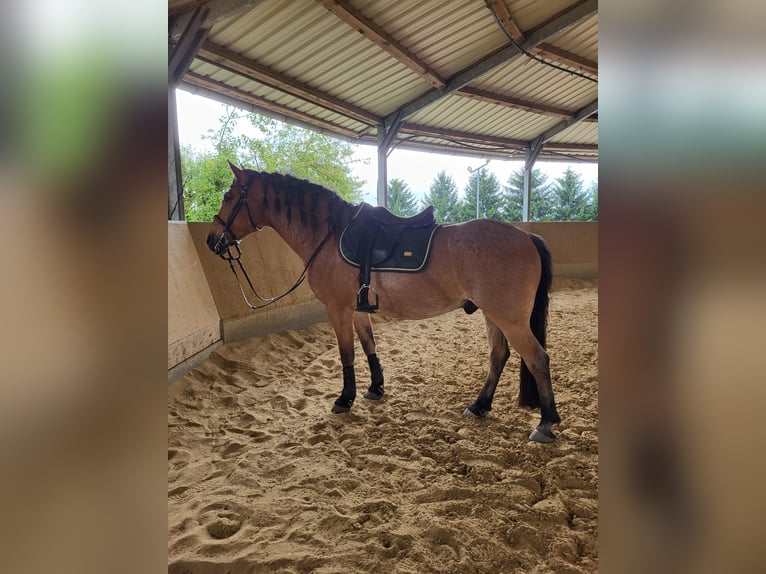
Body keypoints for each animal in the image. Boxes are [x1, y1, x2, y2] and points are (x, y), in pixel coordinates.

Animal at [206, 163, 560, 443]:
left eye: (228, 198)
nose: (211, 240)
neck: (330, 235)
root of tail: (526, 236)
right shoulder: (358, 309)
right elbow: (369, 346)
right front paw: (375, 388)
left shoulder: (338, 308)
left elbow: (347, 353)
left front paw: (344, 399)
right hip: (493, 314)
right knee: (499, 355)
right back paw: (479, 405)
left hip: (510, 319)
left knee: (538, 359)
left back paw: (546, 424)